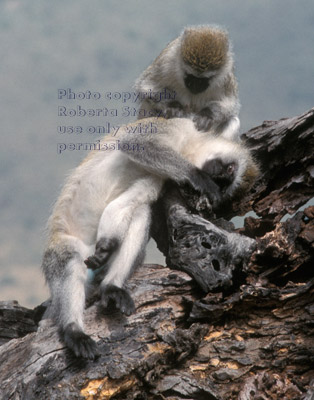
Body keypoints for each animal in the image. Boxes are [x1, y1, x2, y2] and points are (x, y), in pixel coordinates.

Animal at [41, 116, 258, 360]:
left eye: (227, 181)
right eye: (229, 169)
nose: (220, 179)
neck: (184, 148)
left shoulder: (161, 178)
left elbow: (128, 202)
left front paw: (107, 245)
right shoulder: (176, 126)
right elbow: (136, 142)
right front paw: (198, 176)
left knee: (139, 212)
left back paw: (111, 286)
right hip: (63, 245)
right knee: (69, 261)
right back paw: (73, 330)